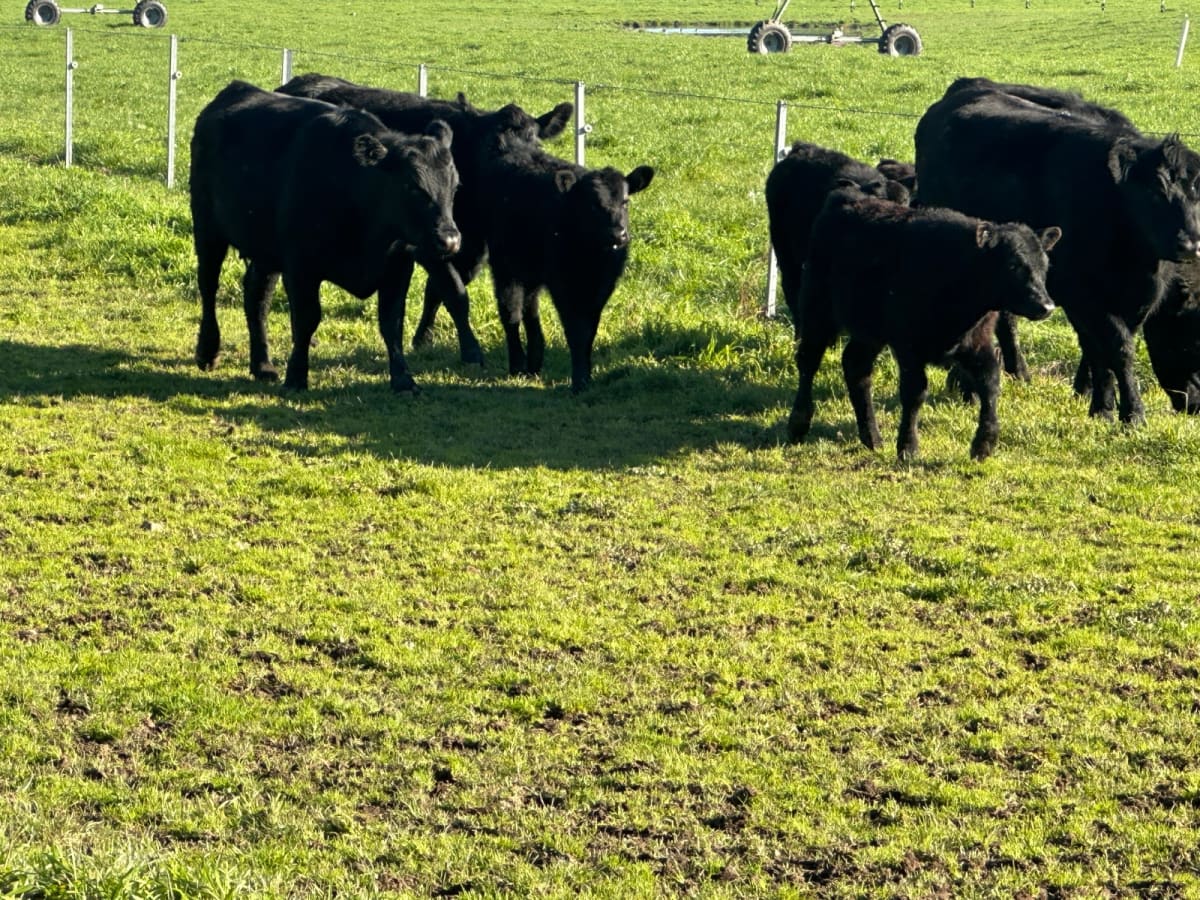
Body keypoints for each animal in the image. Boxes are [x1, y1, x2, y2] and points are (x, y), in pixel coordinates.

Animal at [190, 80, 461, 392]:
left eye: (455, 186)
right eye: (412, 186)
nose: (450, 240)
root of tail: (236, 89)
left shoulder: (398, 267)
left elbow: (391, 323)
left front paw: (404, 380)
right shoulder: (301, 267)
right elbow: (307, 319)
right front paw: (296, 376)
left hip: (265, 249)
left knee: (257, 295)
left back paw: (263, 365)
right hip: (207, 228)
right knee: (208, 286)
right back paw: (208, 351)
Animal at [277, 73, 574, 367]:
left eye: (536, 144)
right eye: (493, 146)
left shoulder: (466, 249)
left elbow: (438, 291)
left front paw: (424, 337)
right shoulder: (427, 244)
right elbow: (454, 292)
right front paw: (469, 351)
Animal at [476, 131, 654, 392]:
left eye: (625, 201)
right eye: (593, 205)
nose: (618, 234)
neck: (591, 257)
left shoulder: (601, 288)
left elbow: (589, 330)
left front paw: (586, 375)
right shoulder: (563, 284)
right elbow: (575, 330)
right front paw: (579, 380)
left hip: (531, 269)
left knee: (530, 308)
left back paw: (535, 362)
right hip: (506, 266)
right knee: (511, 311)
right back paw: (518, 364)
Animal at [786, 188, 1061, 461]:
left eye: (1044, 265)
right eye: (1013, 264)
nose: (1046, 306)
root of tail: (846, 195)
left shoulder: (978, 342)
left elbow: (990, 384)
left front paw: (984, 444)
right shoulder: (908, 346)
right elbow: (915, 392)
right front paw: (908, 447)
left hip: (870, 331)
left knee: (856, 365)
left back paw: (872, 437)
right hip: (817, 308)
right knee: (808, 361)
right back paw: (798, 425)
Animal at [915, 77, 1200, 423]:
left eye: (1195, 194)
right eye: (1154, 192)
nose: (1189, 244)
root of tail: (968, 85)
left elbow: (1099, 349)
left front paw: (1093, 398)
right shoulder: (1082, 295)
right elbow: (1115, 350)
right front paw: (1125, 412)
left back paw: (1015, 374)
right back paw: (968, 385)